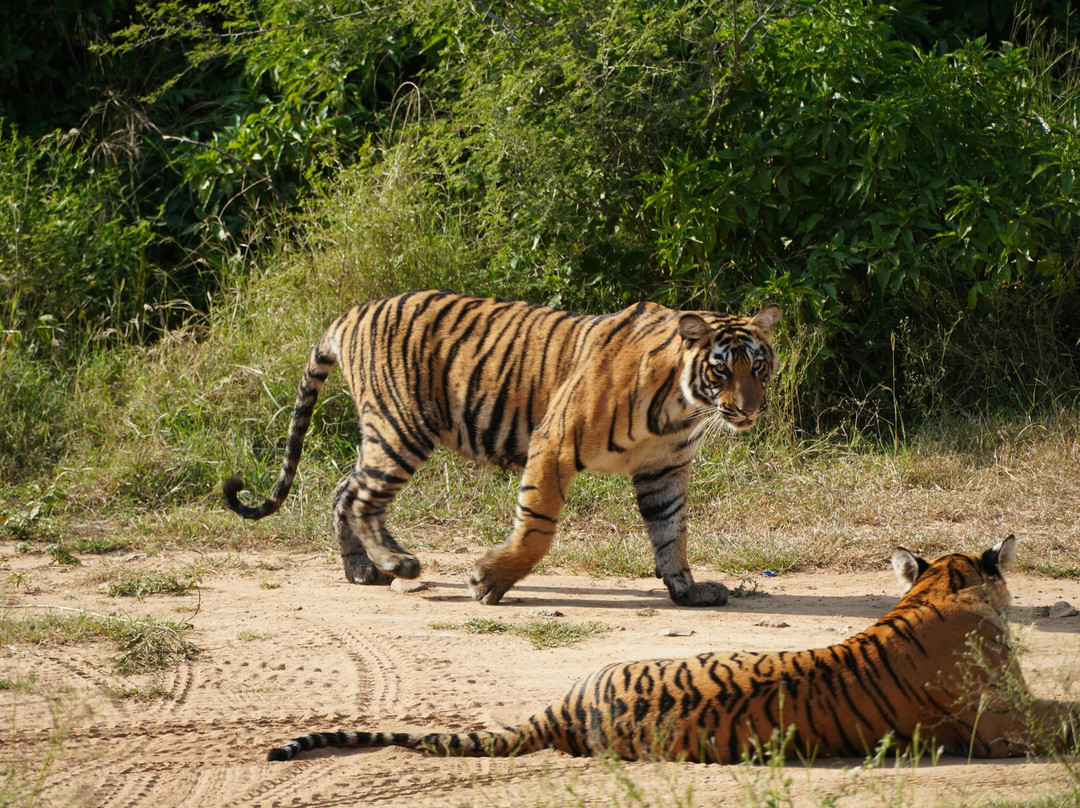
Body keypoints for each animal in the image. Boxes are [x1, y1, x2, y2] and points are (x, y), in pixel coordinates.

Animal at [224, 290, 781, 607]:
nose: (752, 410)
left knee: (346, 491)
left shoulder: (663, 471)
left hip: (383, 434)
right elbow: (537, 529)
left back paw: (364, 570)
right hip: (402, 429)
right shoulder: (554, 445)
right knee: (361, 498)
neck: (680, 405)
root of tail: (353, 312)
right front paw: (489, 582)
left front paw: (687, 590)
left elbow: (672, 534)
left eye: (758, 366)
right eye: (721, 370)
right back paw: (398, 564)